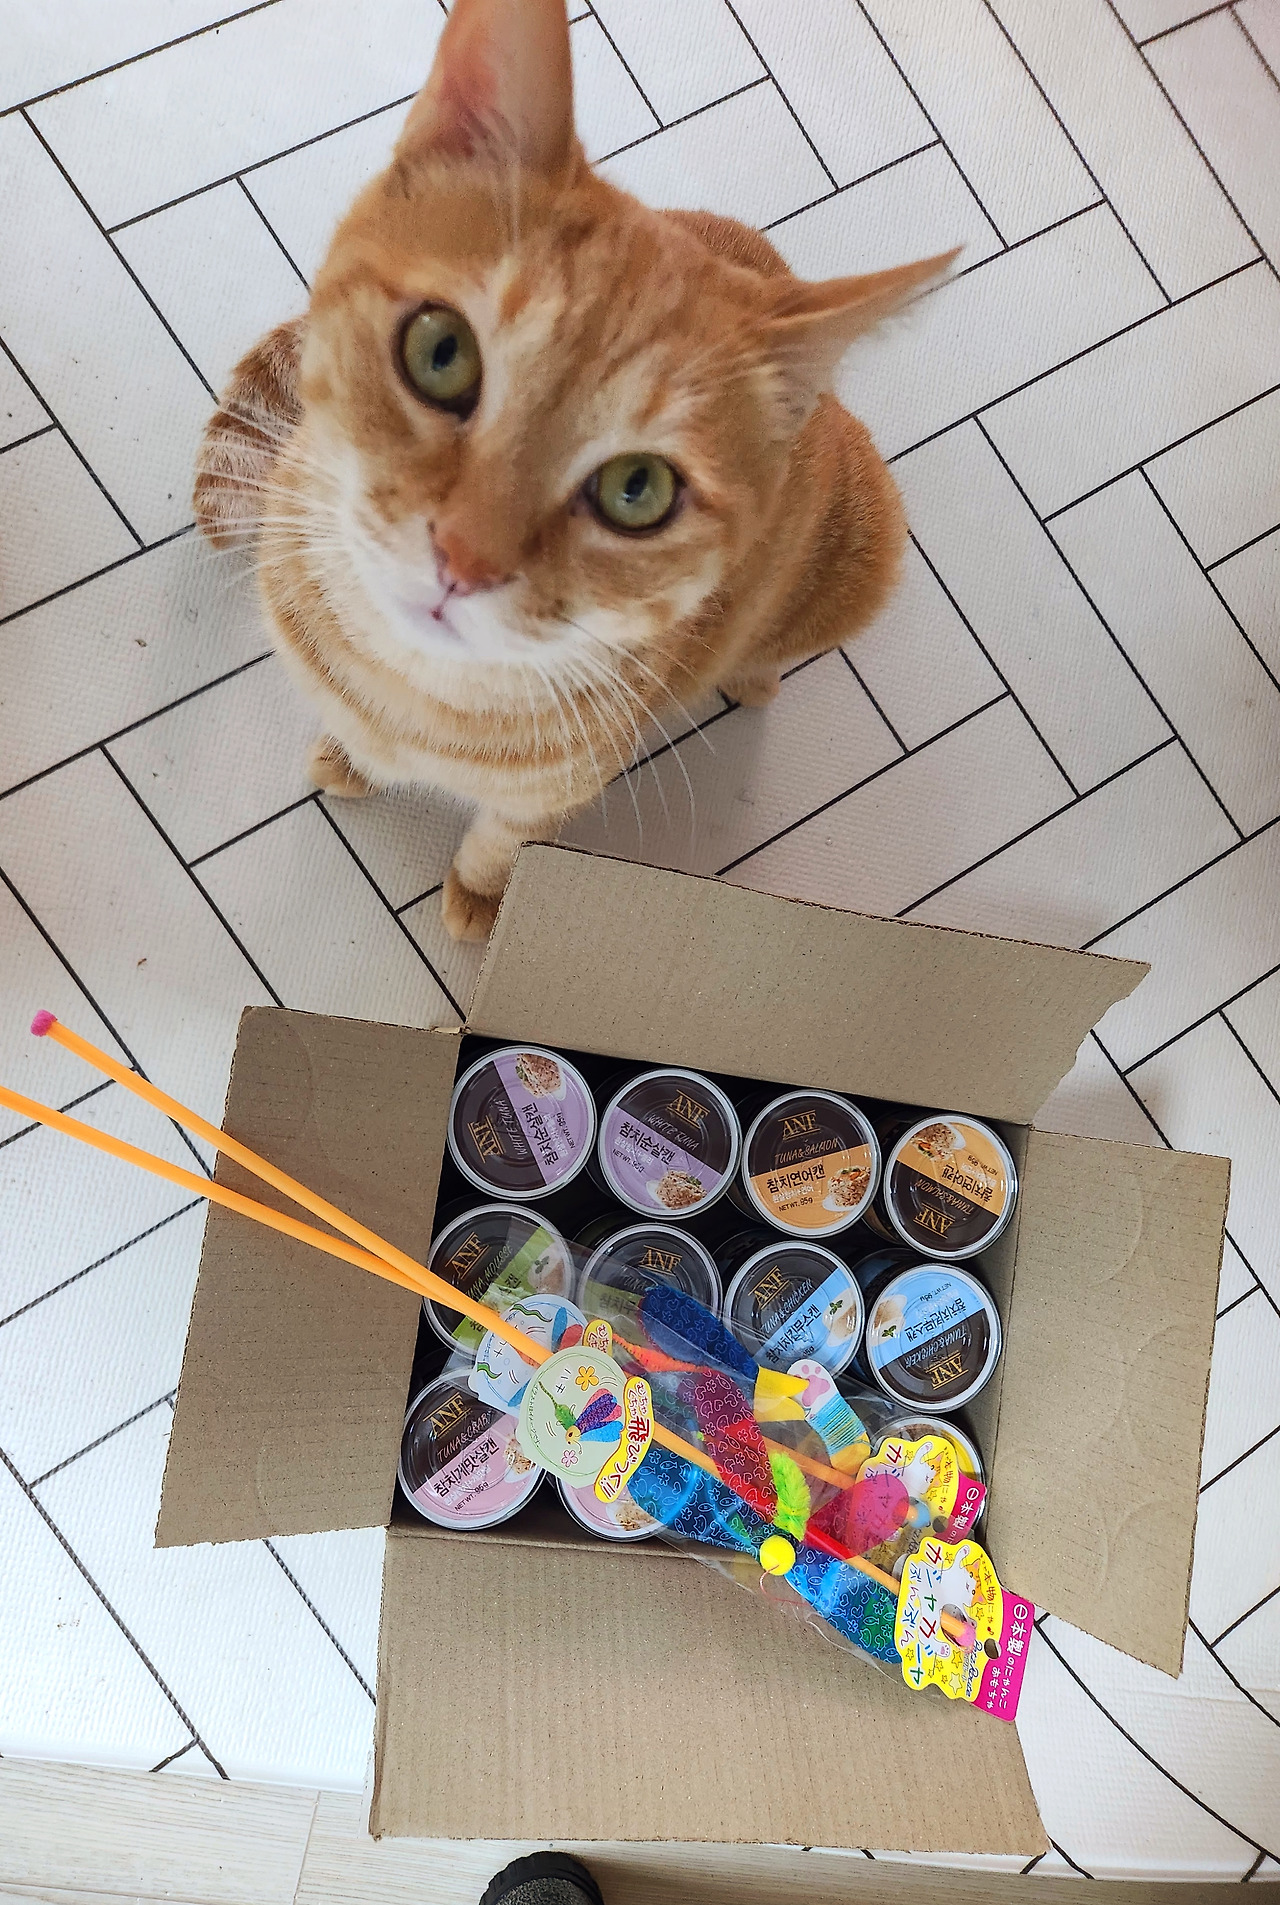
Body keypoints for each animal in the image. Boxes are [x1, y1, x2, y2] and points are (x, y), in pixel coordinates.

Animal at [194, 0, 954, 941]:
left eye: (638, 490)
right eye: (441, 351)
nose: (463, 560)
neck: (412, 695)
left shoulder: (565, 781)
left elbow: (507, 840)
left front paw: (484, 899)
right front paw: (352, 756)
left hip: (866, 557)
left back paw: (755, 671)